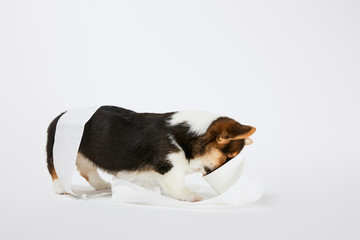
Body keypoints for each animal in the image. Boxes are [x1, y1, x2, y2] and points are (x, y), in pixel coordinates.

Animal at [47, 106, 256, 202]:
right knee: (55, 169)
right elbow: (177, 184)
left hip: (84, 154)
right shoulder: (169, 165)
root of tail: (60, 116)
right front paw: (191, 196)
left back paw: (101, 185)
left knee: (87, 169)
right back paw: (60, 188)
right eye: (229, 157)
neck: (185, 136)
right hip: (60, 152)